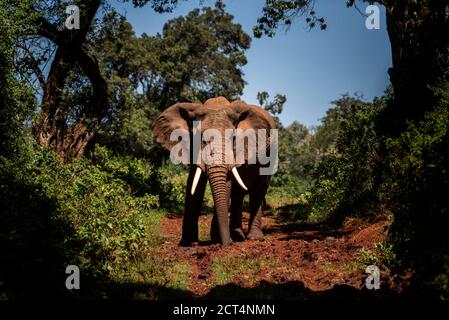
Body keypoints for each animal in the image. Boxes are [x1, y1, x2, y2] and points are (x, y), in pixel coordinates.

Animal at [151, 96, 276, 246]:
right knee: (238, 194)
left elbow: (227, 184)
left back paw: (254, 238)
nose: (228, 244)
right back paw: (237, 236)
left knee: (258, 191)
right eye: (199, 137)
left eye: (233, 138)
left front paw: (217, 240)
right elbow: (194, 184)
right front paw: (188, 243)